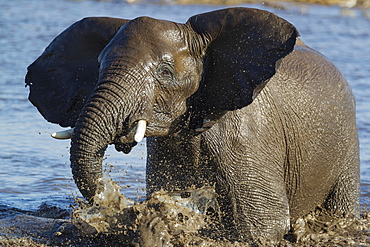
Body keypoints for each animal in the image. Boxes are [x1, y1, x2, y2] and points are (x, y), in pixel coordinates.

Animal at [25, 7, 358, 241]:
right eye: (98, 67)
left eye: (165, 72)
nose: (115, 201)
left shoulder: (250, 138)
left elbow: (263, 226)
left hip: (348, 141)